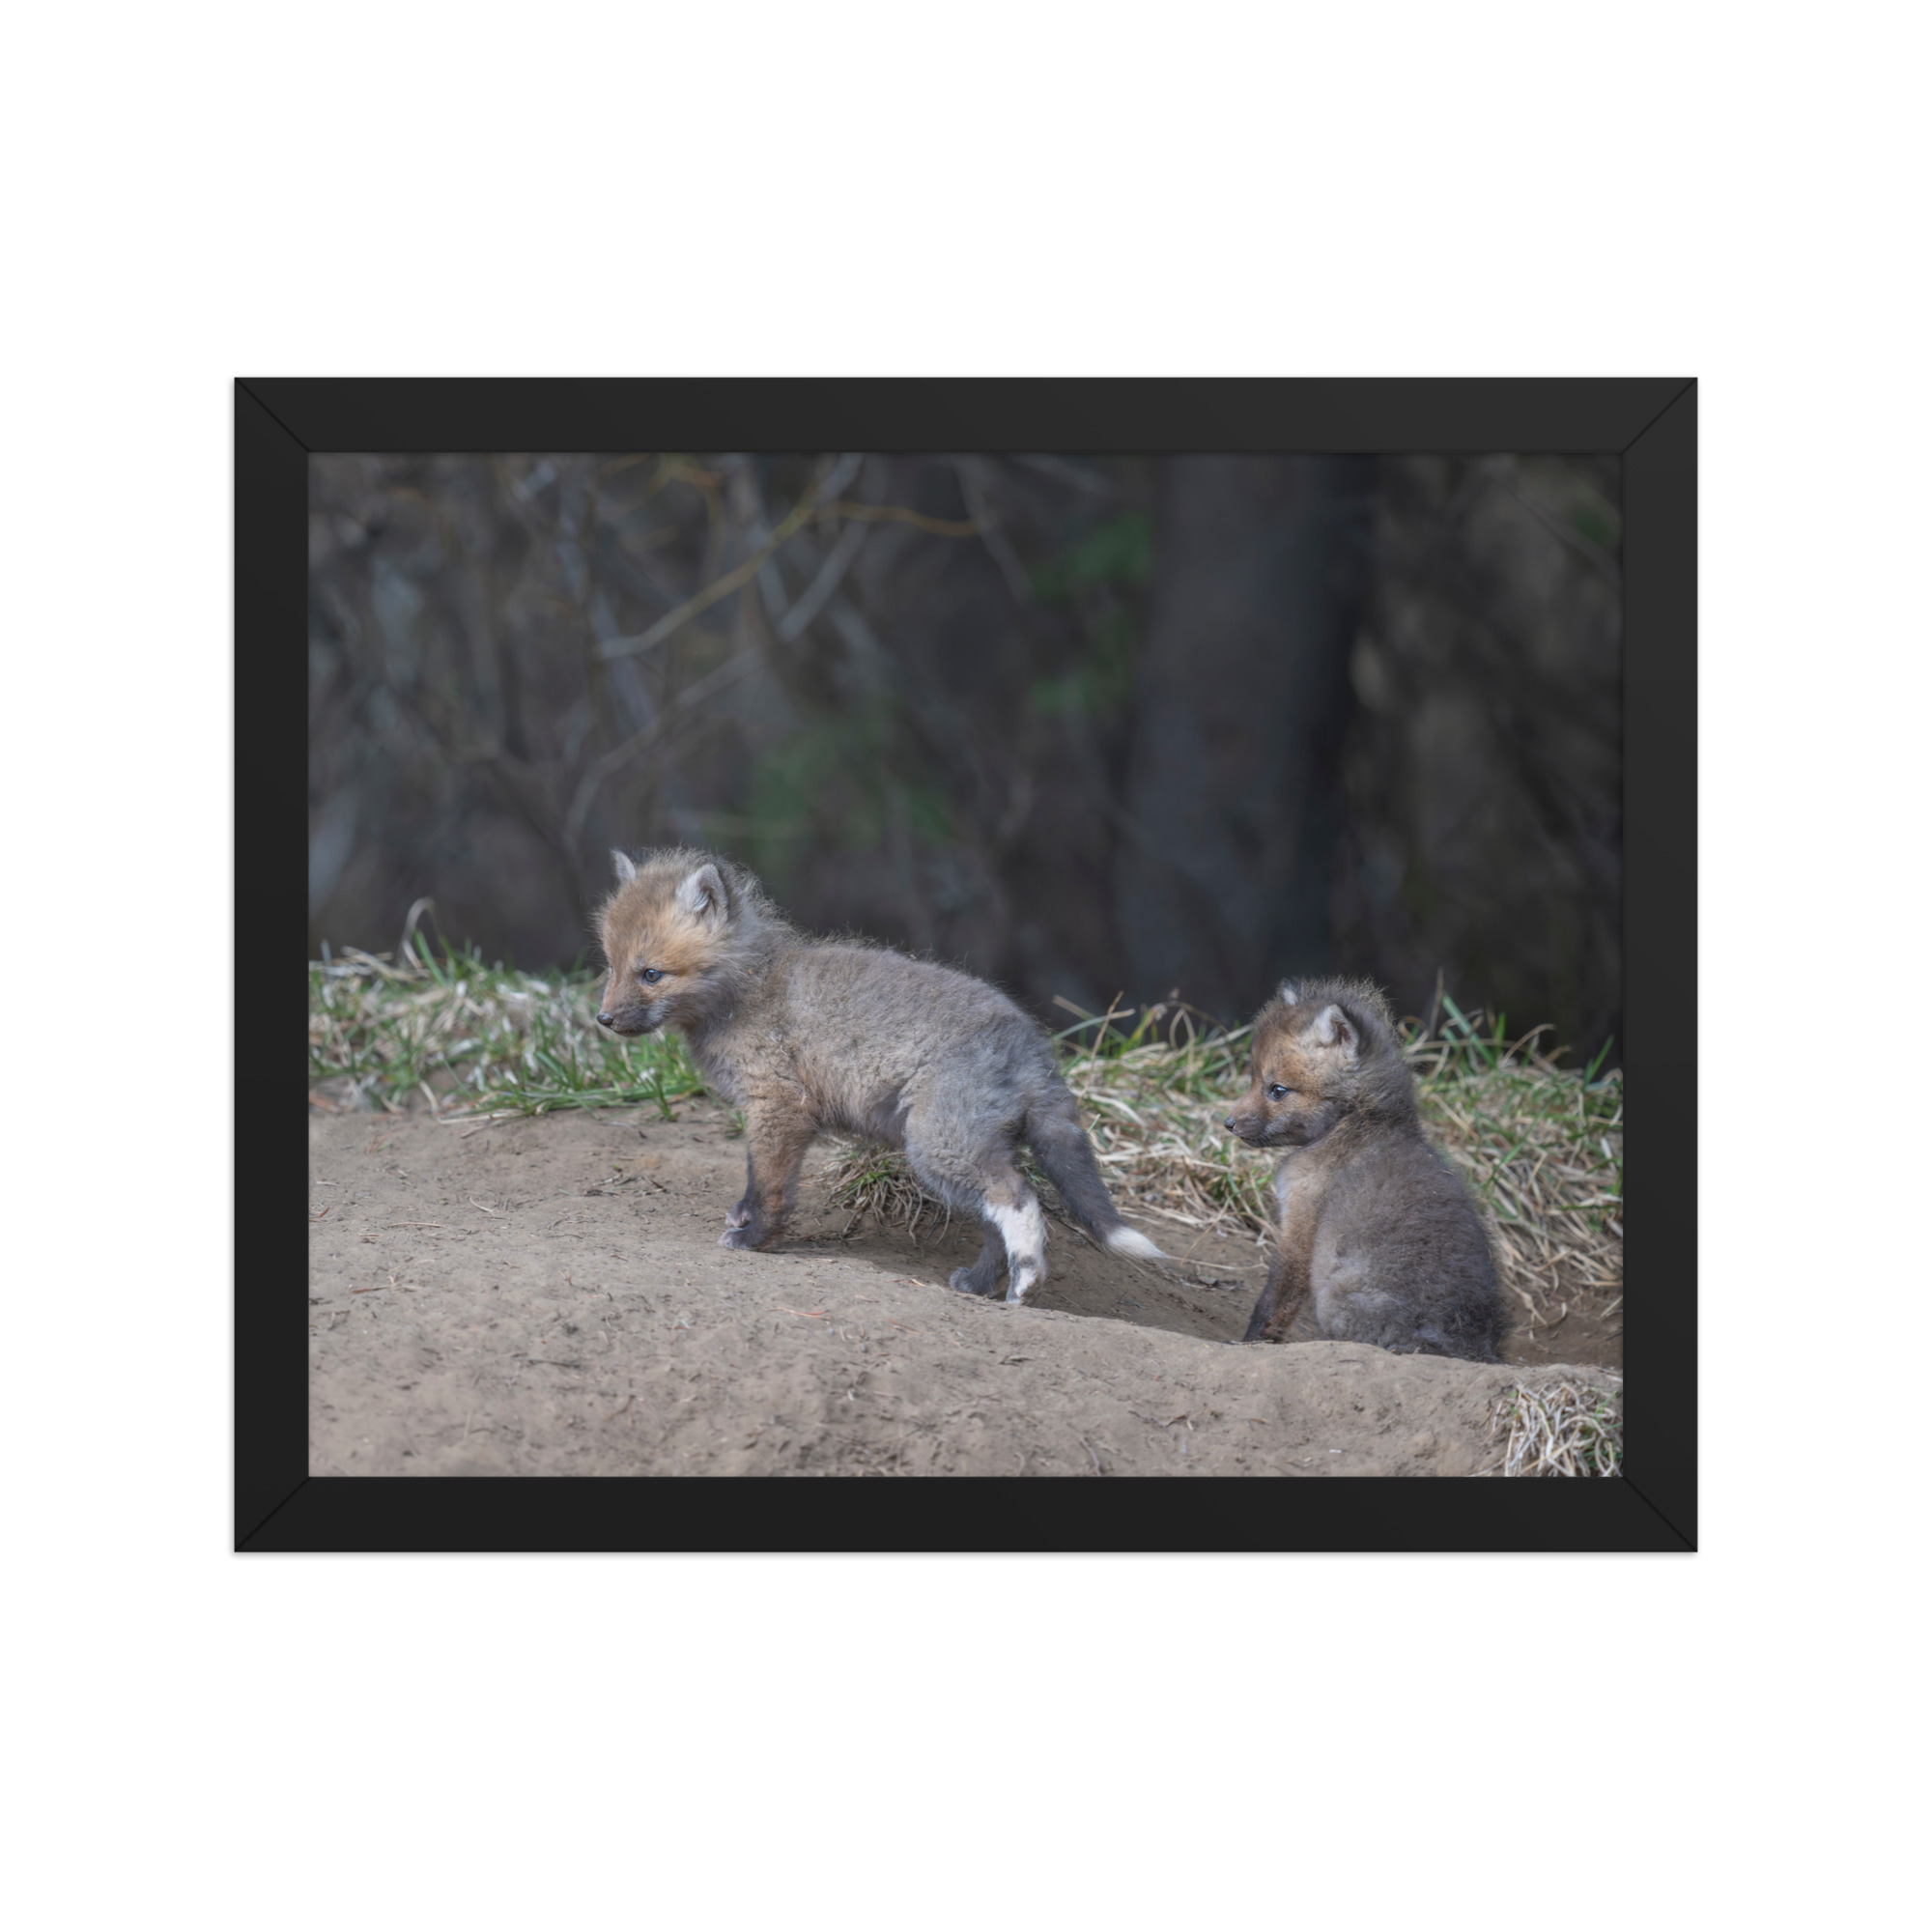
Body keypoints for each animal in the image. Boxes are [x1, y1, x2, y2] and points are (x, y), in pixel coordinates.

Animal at [594, 847, 1166, 1305]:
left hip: (938, 1147)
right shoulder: (774, 1112)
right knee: (994, 1221)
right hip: (963, 1153)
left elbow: (770, 1184)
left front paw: (756, 1239)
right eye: (611, 966)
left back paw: (1026, 1283)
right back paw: (981, 1285)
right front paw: (745, 1219)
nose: (603, 1020)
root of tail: (1033, 1045)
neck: (749, 989)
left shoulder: (778, 1105)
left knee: (1019, 1198)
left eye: (651, 974)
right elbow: (758, 1178)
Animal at [1223, 977, 1503, 1362]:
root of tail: (1466, 1347)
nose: (1228, 1123)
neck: (1357, 1122)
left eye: (1277, 1090)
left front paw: (1249, 1343)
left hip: (1333, 1301)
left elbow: (1273, 1301)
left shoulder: (1301, 1224)